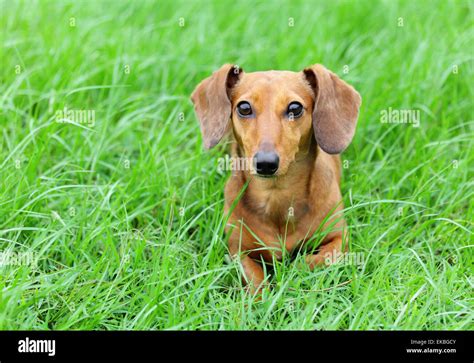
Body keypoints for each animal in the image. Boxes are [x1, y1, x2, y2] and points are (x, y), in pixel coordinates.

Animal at [191, 64, 362, 294]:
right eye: (244, 107)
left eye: (295, 108)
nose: (265, 163)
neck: (276, 195)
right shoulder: (237, 249)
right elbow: (255, 278)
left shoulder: (340, 238)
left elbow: (312, 260)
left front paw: (292, 274)